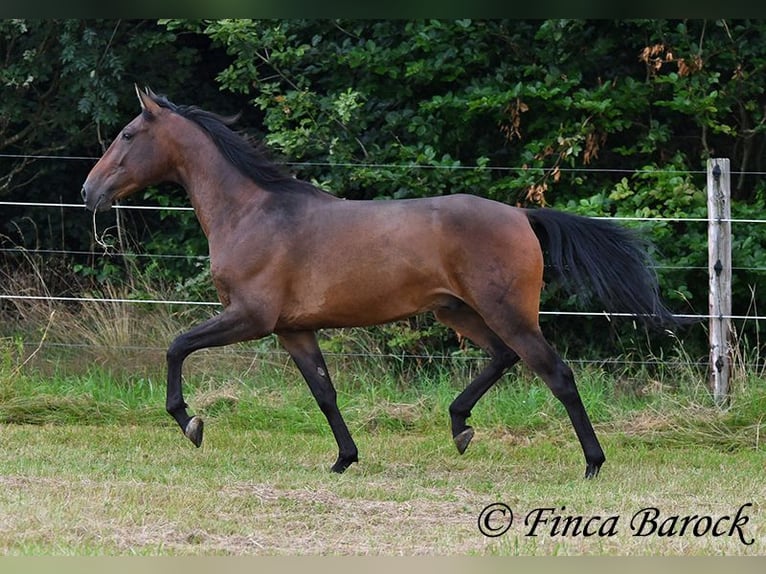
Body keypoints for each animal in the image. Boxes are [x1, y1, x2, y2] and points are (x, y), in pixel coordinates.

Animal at [82, 86, 680, 482]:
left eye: (128, 134)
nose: (89, 191)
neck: (252, 212)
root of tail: (520, 215)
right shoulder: (293, 330)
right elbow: (324, 392)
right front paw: (344, 459)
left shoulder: (249, 317)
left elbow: (176, 346)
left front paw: (190, 423)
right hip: (457, 311)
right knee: (503, 358)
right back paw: (460, 426)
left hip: (506, 312)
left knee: (556, 373)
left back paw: (592, 466)